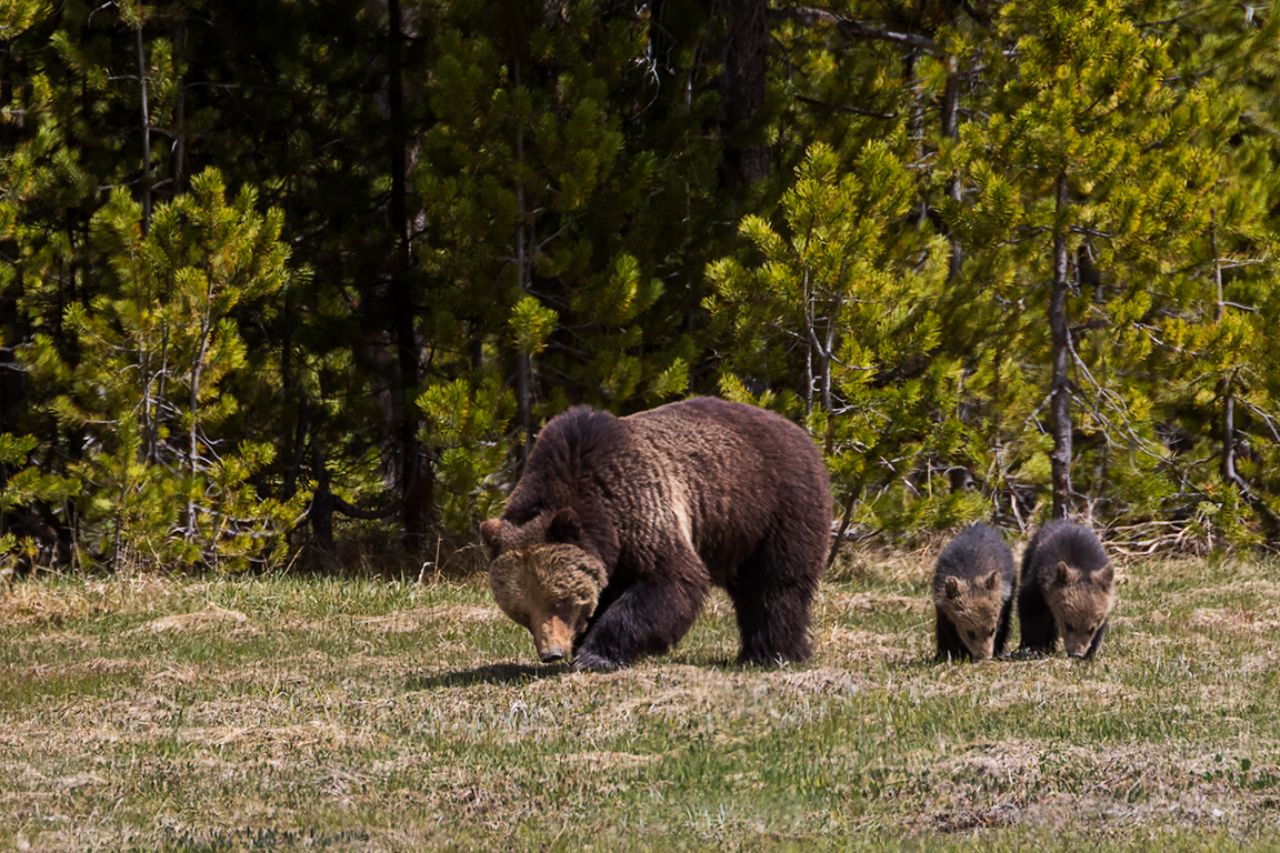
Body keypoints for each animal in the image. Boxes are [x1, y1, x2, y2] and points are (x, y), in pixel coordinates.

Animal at [480, 396, 832, 672]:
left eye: (559, 600)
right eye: (522, 611)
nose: (551, 653)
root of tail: (799, 431)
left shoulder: (643, 508)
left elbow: (668, 581)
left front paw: (596, 654)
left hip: (774, 507)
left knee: (775, 586)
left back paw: (772, 653)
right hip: (737, 534)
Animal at [1017, 519, 1115, 659]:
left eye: (1091, 629)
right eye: (1069, 625)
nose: (1076, 653)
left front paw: (1091, 652)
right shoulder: (1037, 580)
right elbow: (1032, 610)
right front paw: (1033, 648)